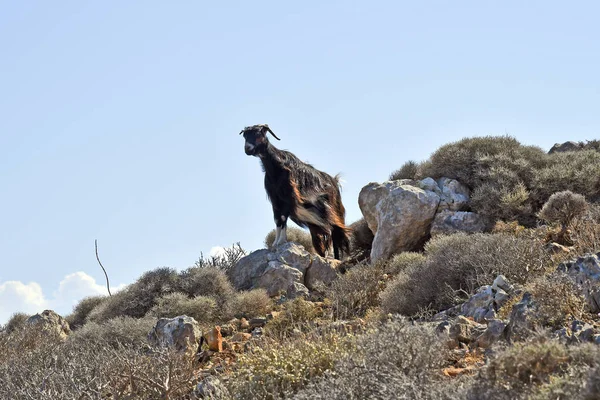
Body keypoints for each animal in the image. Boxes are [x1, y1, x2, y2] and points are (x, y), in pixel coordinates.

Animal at [240, 123, 352, 260]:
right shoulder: (275, 199)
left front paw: (281, 241)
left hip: (332, 211)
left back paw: (336, 258)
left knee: (335, 231)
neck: (276, 168)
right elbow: (277, 219)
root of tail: (335, 181)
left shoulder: (289, 197)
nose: (248, 149)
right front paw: (275, 243)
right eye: (245, 136)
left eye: (258, 133)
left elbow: (283, 217)